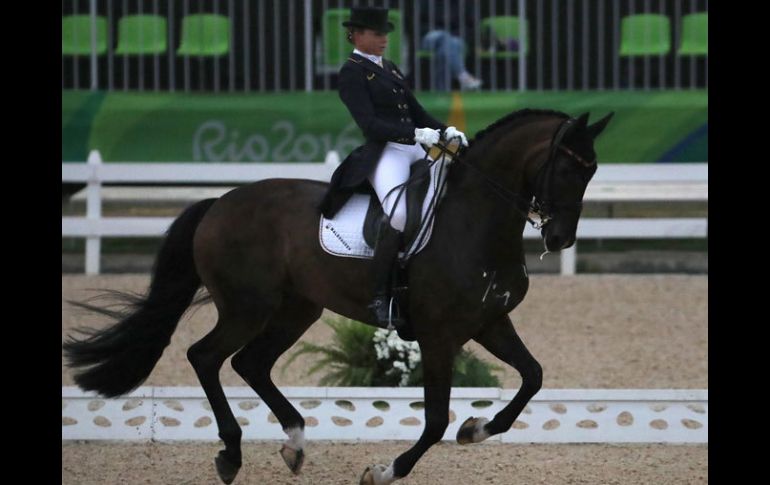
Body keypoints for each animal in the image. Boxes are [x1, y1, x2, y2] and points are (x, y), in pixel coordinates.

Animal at [63, 108, 612, 482]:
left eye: (591, 170)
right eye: (567, 169)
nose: (560, 238)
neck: (474, 221)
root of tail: (220, 202)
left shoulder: (489, 323)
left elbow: (532, 377)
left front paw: (476, 430)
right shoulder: (438, 336)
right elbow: (435, 419)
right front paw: (385, 471)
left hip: (296, 308)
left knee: (249, 363)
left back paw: (294, 441)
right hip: (247, 308)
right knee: (205, 357)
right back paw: (232, 454)